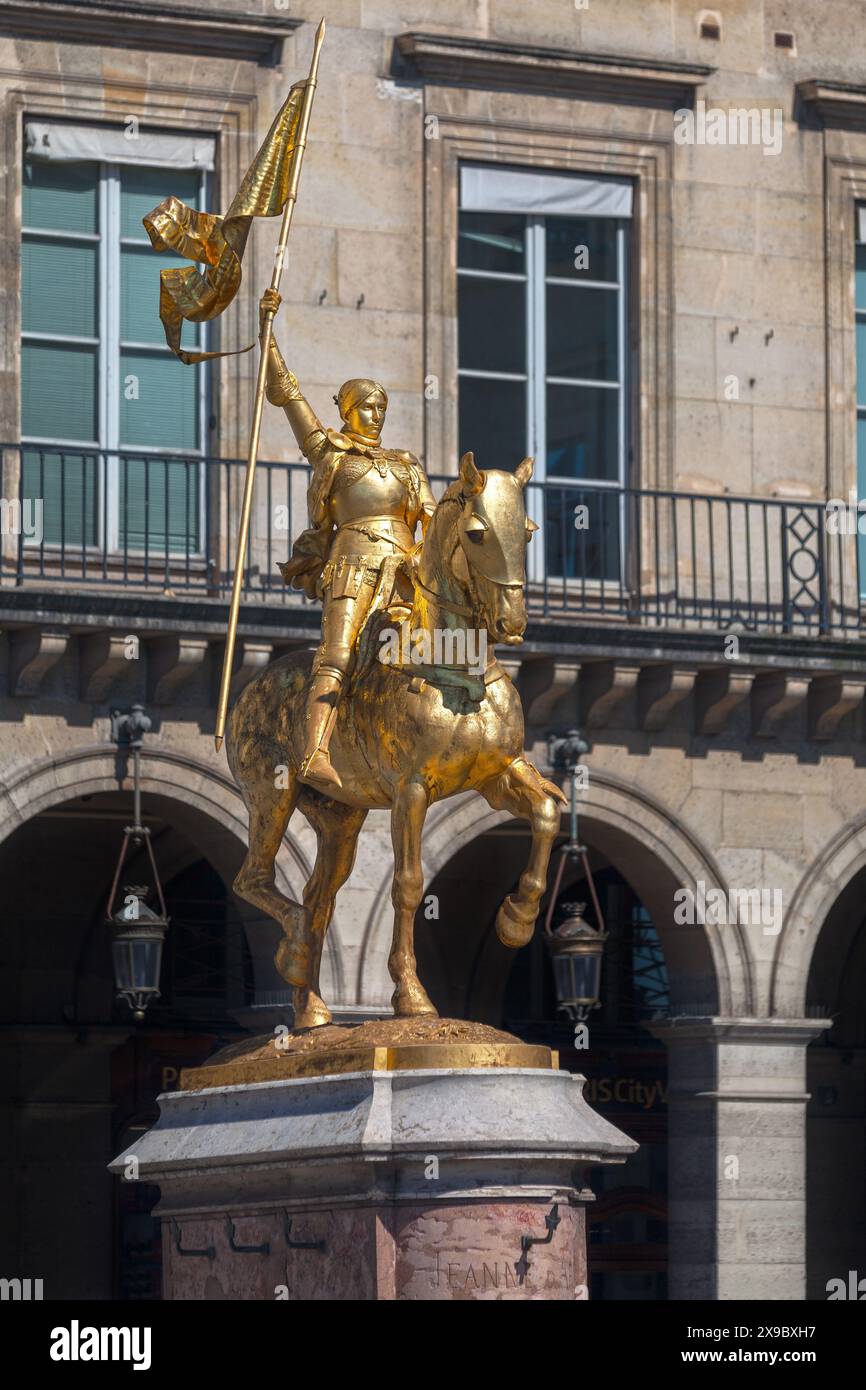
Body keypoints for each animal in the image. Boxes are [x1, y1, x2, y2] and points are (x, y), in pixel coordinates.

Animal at [223, 450, 567, 1028]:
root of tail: (249, 690)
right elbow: (408, 884)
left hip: (339, 818)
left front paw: (516, 921)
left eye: (528, 530)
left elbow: (545, 816)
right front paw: (412, 996)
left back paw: (312, 1009)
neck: (458, 669)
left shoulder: (496, 777)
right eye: (477, 533)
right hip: (271, 795)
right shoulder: (412, 791)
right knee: (254, 881)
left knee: (318, 897)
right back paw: (295, 953)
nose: (512, 622)